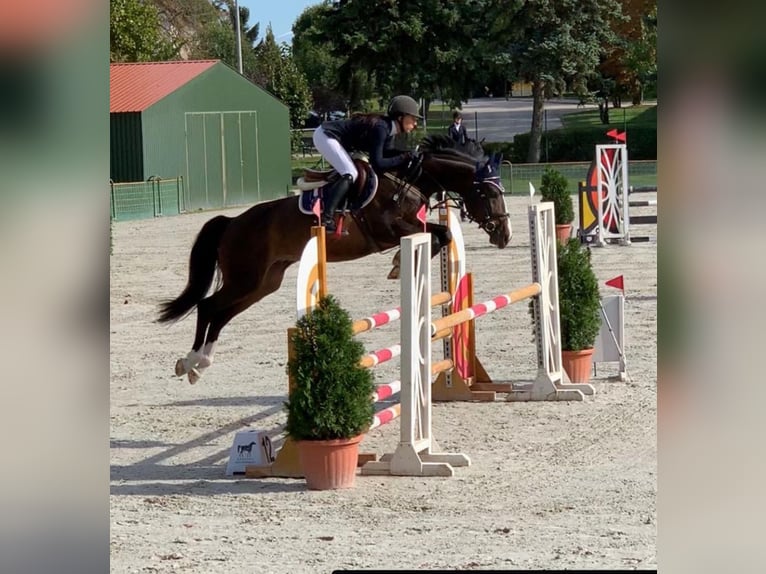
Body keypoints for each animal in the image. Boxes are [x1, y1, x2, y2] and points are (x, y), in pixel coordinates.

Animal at [159, 136, 512, 384]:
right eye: (490, 193)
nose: (504, 235)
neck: (411, 180)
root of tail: (232, 221)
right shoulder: (391, 229)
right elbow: (440, 234)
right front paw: (399, 263)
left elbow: (443, 235)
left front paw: (400, 264)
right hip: (245, 278)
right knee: (208, 307)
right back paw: (189, 363)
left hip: (263, 283)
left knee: (220, 314)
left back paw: (197, 367)